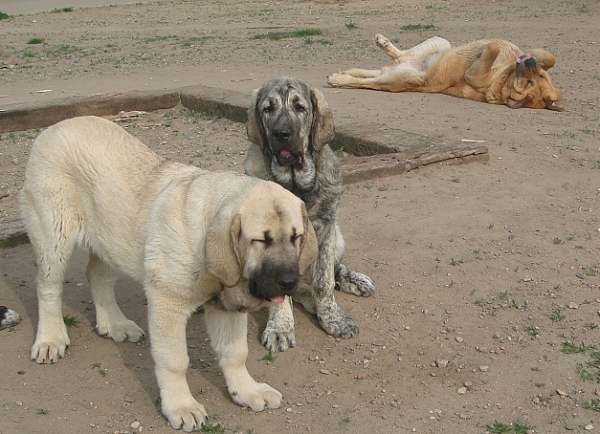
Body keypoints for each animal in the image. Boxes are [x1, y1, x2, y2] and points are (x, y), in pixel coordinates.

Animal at [19, 117, 318, 432]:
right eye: (262, 240)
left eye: (296, 237)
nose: (289, 282)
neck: (206, 247)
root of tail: (58, 125)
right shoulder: (168, 304)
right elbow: (175, 361)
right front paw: (181, 406)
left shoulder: (228, 306)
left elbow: (235, 353)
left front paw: (247, 391)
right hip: (54, 235)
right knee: (49, 287)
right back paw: (50, 339)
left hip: (111, 237)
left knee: (97, 276)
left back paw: (114, 324)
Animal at [245, 76, 376, 350]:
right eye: (268, 109)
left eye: (300, 107)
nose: (281, 134)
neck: (295, 183)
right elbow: (279, 291)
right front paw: (280, 327)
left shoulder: (326, 228)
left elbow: (324, 280)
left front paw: (333, 318)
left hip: (338, 236)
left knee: (332, 271)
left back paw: (354, 281)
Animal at [328, 35, 564, 111]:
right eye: (537, 79)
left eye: (529, 84)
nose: (529, 63)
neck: (504, 79)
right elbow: (550, 57)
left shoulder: (474, 77)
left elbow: (493, 50)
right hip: (440, 42)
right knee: (397, 57)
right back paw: (383, 43)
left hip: (397, 77)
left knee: (366, 81)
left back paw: (338, 78)